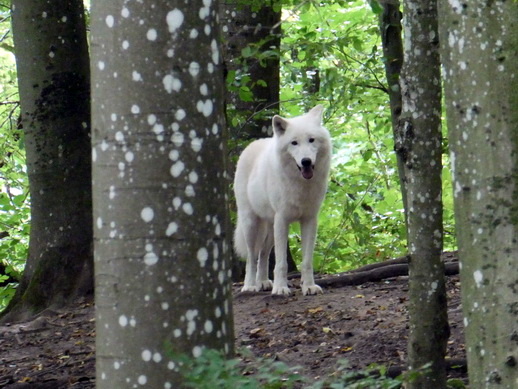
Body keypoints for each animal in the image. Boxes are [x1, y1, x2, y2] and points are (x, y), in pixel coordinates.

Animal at [235, 104, 334, 296]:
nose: (306, 161)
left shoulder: (309, 220)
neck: (301, 184)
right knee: (251, 257)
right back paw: (250, 286)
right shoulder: (282, 219)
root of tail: (252, 144)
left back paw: (263, 282)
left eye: (311, 140)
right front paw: (281, 288)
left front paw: (308, 286)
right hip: (251, 224)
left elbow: (307, 261)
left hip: (270, 228)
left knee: (263, 255)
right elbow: (281, 263)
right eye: (294, 143)